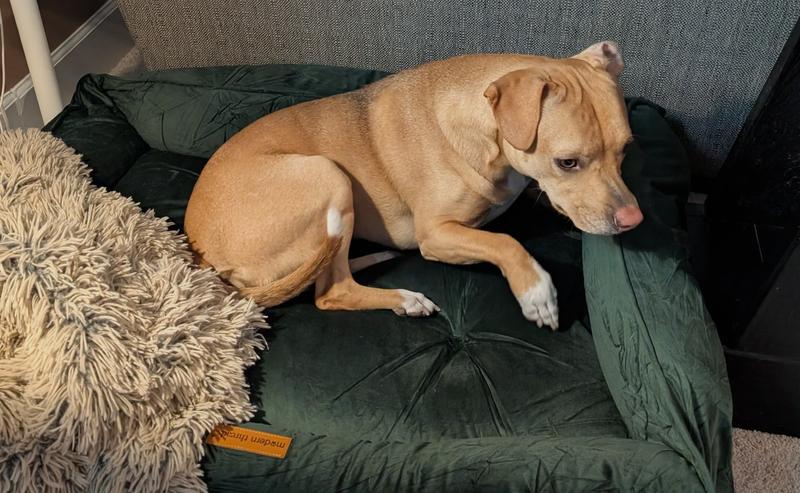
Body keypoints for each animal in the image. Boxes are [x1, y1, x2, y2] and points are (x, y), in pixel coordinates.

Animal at [184, 41, 642, 330]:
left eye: (626, 149)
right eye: (567, 162)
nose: (633, 220)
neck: (486, 130)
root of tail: (203, 255)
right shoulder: (436, 235)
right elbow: (504, 241)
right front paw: (536, 291)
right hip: (328, 175)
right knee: (330, 292)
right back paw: (404, 299)